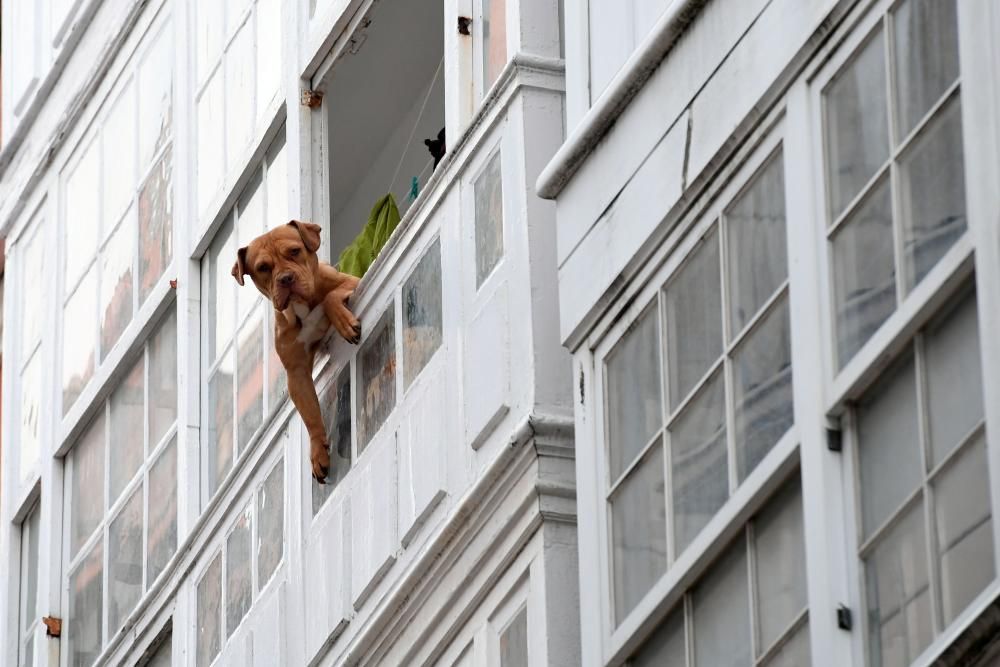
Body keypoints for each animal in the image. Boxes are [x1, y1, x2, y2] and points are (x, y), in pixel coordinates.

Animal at [232, 222, 362, 482]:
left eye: (294, 251)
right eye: (263, 267)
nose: (286, 278)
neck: (301, 306)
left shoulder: (353, 281)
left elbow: (331, 297)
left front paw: (343, 320)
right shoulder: (297, 372)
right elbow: (310, 414)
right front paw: (317, 450)